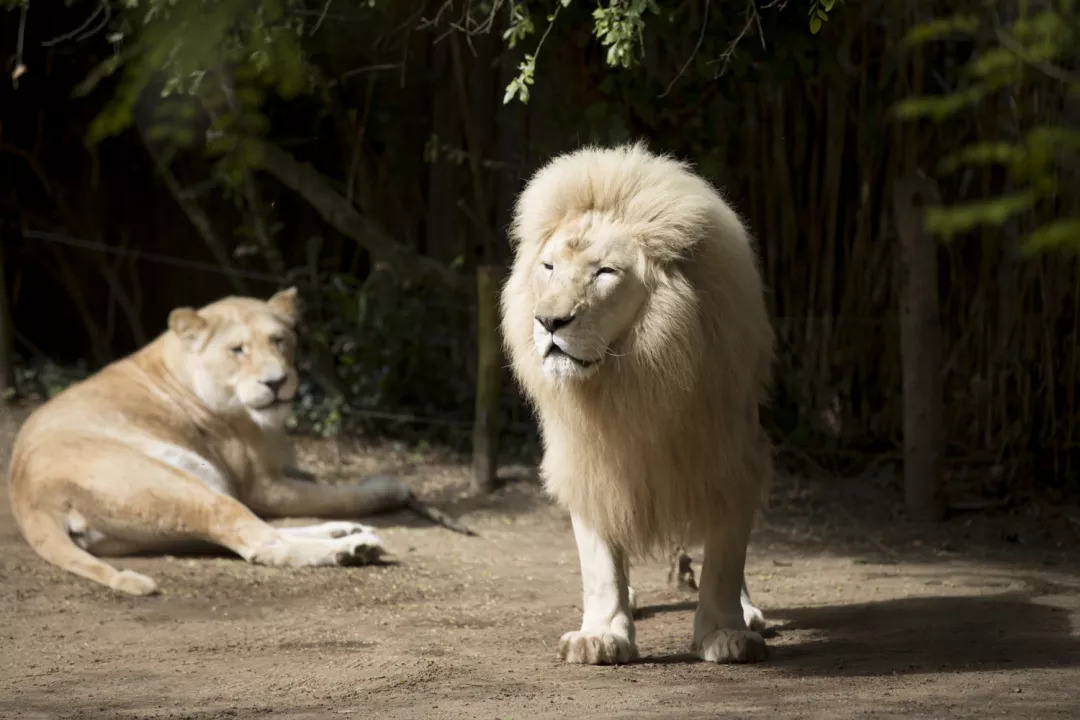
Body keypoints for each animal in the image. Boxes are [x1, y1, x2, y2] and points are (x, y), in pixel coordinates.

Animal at [501, 143, 773, 669]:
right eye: (549, 268)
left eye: (605, 272)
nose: (548, 322)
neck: (630, 382)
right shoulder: (587, 460)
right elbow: (599, 561)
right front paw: (601, 635)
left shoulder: (731, 458)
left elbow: (726, 557)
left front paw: (724, 634)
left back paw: (748, 616)